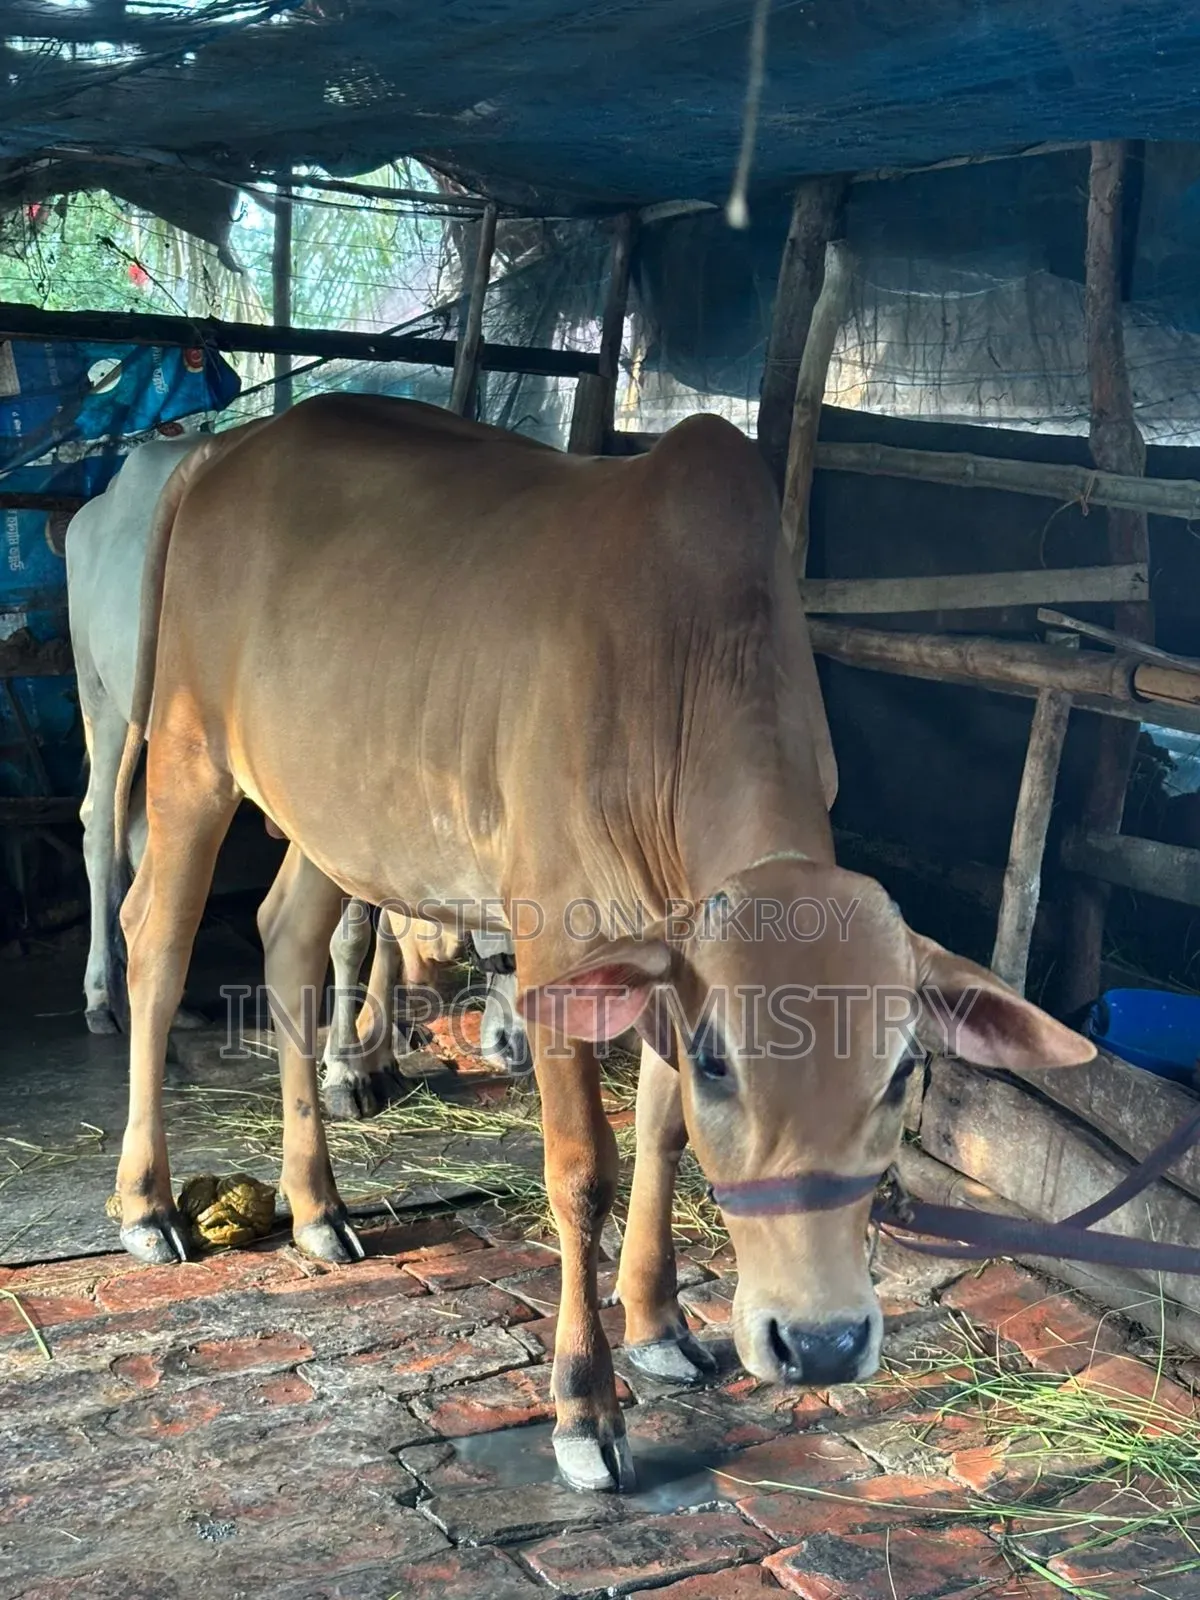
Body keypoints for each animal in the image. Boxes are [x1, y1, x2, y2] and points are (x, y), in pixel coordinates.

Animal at [108, 395, 1093, 1492]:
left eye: (905, 1069)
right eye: (722, 1061)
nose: (825, 1341)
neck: (686, 670)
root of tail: (226, 448)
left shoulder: (662, 951)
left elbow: (661, 1135)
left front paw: (660, 1324)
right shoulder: (553, 942)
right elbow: (586, 1169)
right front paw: (585, 1403)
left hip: (332, 809)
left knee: (287, 942)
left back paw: (317, 1203)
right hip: (188, 753)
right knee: (156, 945)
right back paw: (147, 1202)